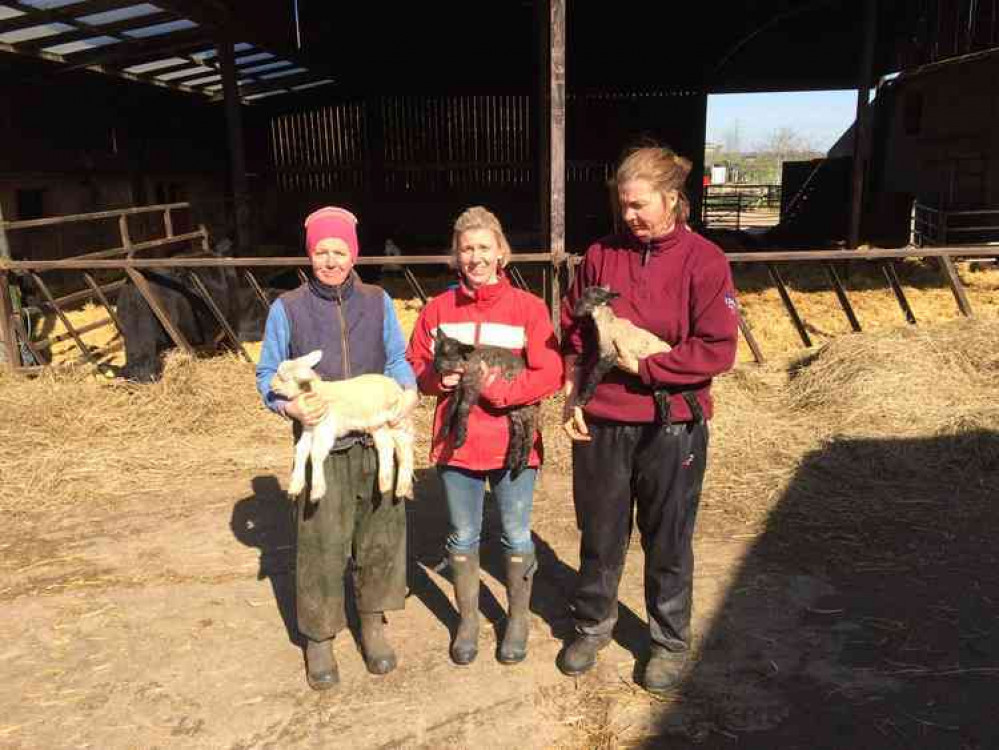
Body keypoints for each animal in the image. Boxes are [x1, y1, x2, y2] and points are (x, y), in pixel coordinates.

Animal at [268, 352, 416, 502]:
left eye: (283, 378)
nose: (271, 385)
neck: (318, 392)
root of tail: (397, 387)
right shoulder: (310, 427)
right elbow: (301, 450)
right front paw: (295, 487)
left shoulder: (325, 429)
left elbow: (315, 453)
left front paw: (317, 491)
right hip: (378, 424)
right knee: (386, 446)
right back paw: (385, 484)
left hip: (397, 419)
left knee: (405, 449)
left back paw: (402, 488)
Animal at [430, 328, 540, 476]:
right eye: (435, 352)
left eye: (448, 356)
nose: (435, 368)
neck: (467, 363)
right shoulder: (459, 388)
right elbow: (451, 408)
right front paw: (444, 432)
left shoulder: (473, 386)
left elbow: (462, 409)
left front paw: (459, 439)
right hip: (514, 409)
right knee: (519, 431)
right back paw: (512, 461)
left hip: (526, 405)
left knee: (530, 432)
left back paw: (522, 464)